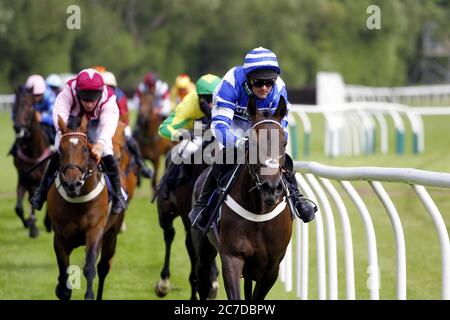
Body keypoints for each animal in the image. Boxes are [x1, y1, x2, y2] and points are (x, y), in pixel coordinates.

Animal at [11, 87, 52, 238]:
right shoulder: (23, 179)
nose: (17, 127)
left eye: (30, 107)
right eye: (14, 106)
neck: (33, 152)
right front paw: (30, 225)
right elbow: (18, 208)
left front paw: (46, 223)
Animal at [47, 115, 124, 300]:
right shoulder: (59, 235)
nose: (72, 184)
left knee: (103, 267)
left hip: (111, 234)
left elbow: (90, 267)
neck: (78, 201)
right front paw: (62, 289)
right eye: (61, 150)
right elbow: (63, 271)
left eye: (85, 149)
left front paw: (89, 295)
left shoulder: (95, 230)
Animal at [191, 95, 292, 300]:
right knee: (203, 282)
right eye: (252, 143)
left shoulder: (271, 268)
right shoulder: (232, 258)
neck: (259, 213)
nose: (272, 188)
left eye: (284, 142)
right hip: (203, 248)